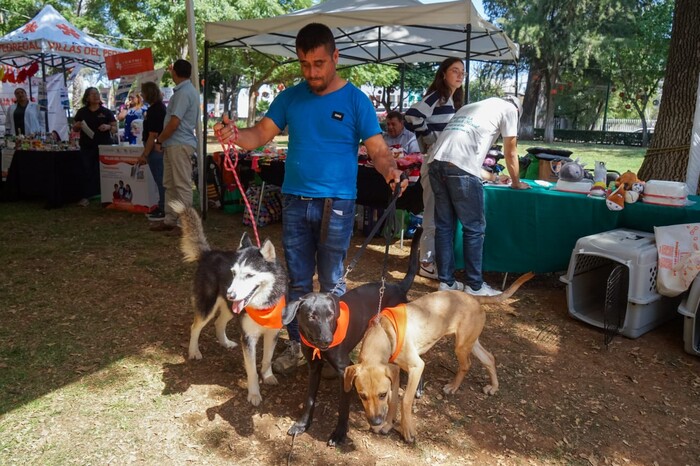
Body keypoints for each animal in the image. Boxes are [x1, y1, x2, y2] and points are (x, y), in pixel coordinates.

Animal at [172, 202, 288, 406]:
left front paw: (268, 376)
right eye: (233, 273)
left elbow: (267, 359)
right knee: (195, 327)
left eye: (249, 275)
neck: (263, 304)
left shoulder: (272, 333)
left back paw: (225, 343)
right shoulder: (248, 338)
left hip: (228, 307)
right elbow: (251, 370)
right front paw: (254, 394)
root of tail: (209, 253)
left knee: (219, 322)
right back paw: (194, 351)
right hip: (208, 306)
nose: (230, 293)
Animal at [282, 228, 424, 446]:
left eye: (331, 315)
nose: (327, 340)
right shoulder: (314, 368)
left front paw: (339, 433)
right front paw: (302, 424)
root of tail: (398, 287)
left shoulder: (345, 370)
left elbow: (343, 407)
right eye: (311, 316)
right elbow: (309, 399)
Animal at [346, 272, 536, 442]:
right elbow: (393, 401)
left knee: (466, 364)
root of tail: (474, 298)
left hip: (461, 346)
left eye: (382, 394)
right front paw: (388, 425)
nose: (375, 421)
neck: (385, 332)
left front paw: (407, 431)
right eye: (362, 396)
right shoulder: (395, 371)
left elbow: (405, 400)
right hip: (470, 342)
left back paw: (453, 387)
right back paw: (493, 387)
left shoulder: (416, 367)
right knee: (489, 358)